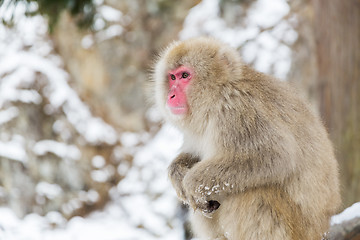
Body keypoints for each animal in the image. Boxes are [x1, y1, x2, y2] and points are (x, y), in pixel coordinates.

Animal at [151, 36, 340, 239]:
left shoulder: (238, 109)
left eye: (185, 75)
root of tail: (323, 229)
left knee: (255, 192)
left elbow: (276, 155)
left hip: (299, 229)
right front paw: (177, 171)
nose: (171, 95)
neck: (216, 95)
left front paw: (191, 184)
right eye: (172, 77)